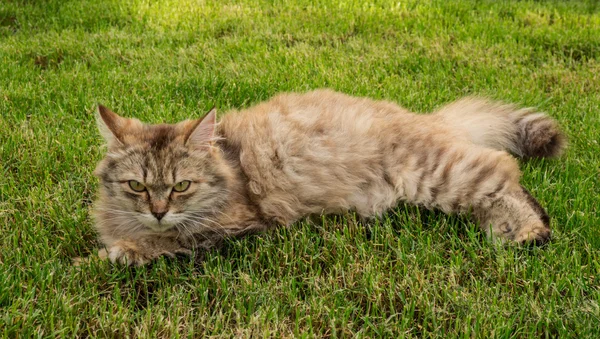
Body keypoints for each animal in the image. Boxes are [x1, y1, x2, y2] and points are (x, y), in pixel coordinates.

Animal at [88, 89, 564, 266]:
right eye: (137, 186)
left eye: (182, 186)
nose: (158, 211)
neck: (230, 165)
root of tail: (423, 118)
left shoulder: (235, 224)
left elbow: (163, 243)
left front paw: (106, 256)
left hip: (437, 173)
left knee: (503, 172)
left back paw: (528, 232)